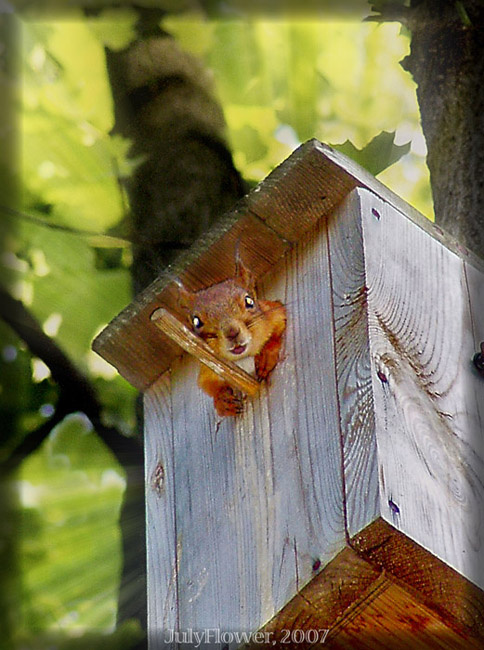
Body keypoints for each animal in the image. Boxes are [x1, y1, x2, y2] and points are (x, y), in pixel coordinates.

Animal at [176, 255, 286, 417]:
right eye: (196, 321)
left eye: (249, 301)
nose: (232, 332)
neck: (242, 358)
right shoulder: (208, 367)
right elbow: (207, 384)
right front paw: (223, 400)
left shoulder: (275, 312)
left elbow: (277, 329)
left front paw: (266, 355)